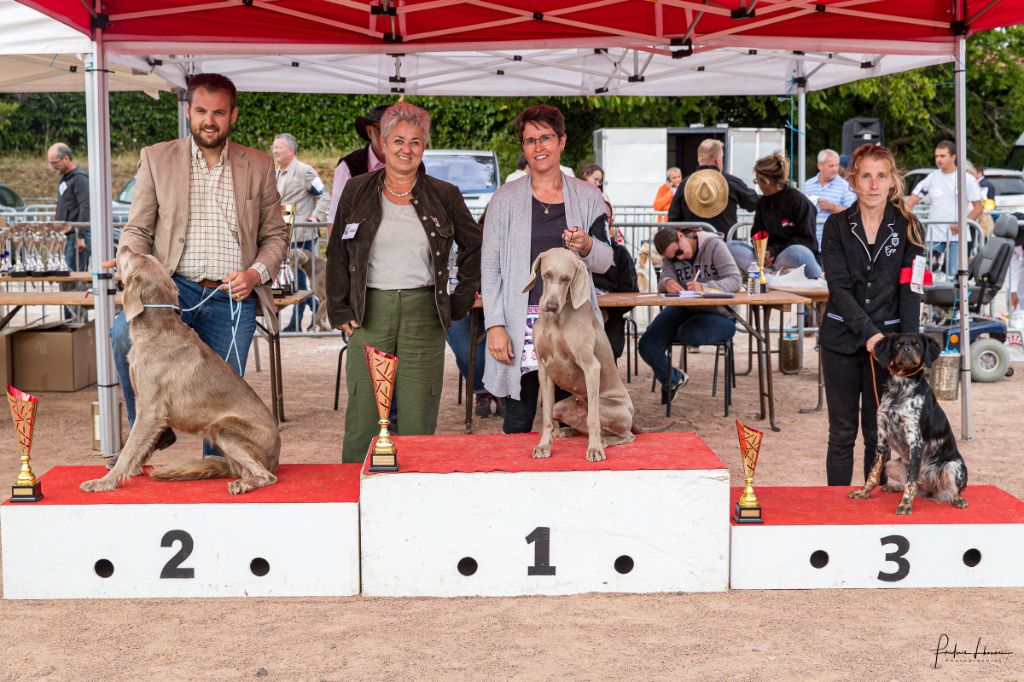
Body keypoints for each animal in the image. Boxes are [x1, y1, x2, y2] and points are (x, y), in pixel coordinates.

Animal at [80, 246, 280, 491]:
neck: (156, 331)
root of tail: (276, 455)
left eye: (137, 257)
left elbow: (129, 449)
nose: (125, 247)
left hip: (223, 428)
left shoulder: (150, 409)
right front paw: (132, 468)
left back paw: (243, 484)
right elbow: (139, 448)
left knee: (266, 476)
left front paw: (105, 481)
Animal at [524, 246, 634, 458]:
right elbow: (546, 418)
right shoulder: (544, 369)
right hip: (561, 405)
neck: (556, 320)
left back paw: (603, 441)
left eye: (567, 278)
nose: (551, 306)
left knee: (626, 434)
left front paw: (595, 449)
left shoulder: (591, 367)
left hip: (607, 407)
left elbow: (593, 420)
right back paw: (565, 431)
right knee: (575, 424)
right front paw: (544, 446)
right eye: (547, 275)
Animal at [847, 331, 966, 512]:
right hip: (892, 464)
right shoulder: (882, 440)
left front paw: (905, 504)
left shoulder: (915, 441)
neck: (900, 389)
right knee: (909, 483)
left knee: (953, 490)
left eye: (917, 345)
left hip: (953, 466)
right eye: (898, 344)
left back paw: (958, 499)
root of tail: (931, 490)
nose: (907, 349)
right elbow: (873, 472)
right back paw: (893, 486)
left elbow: (911, 482)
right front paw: (864, 492)